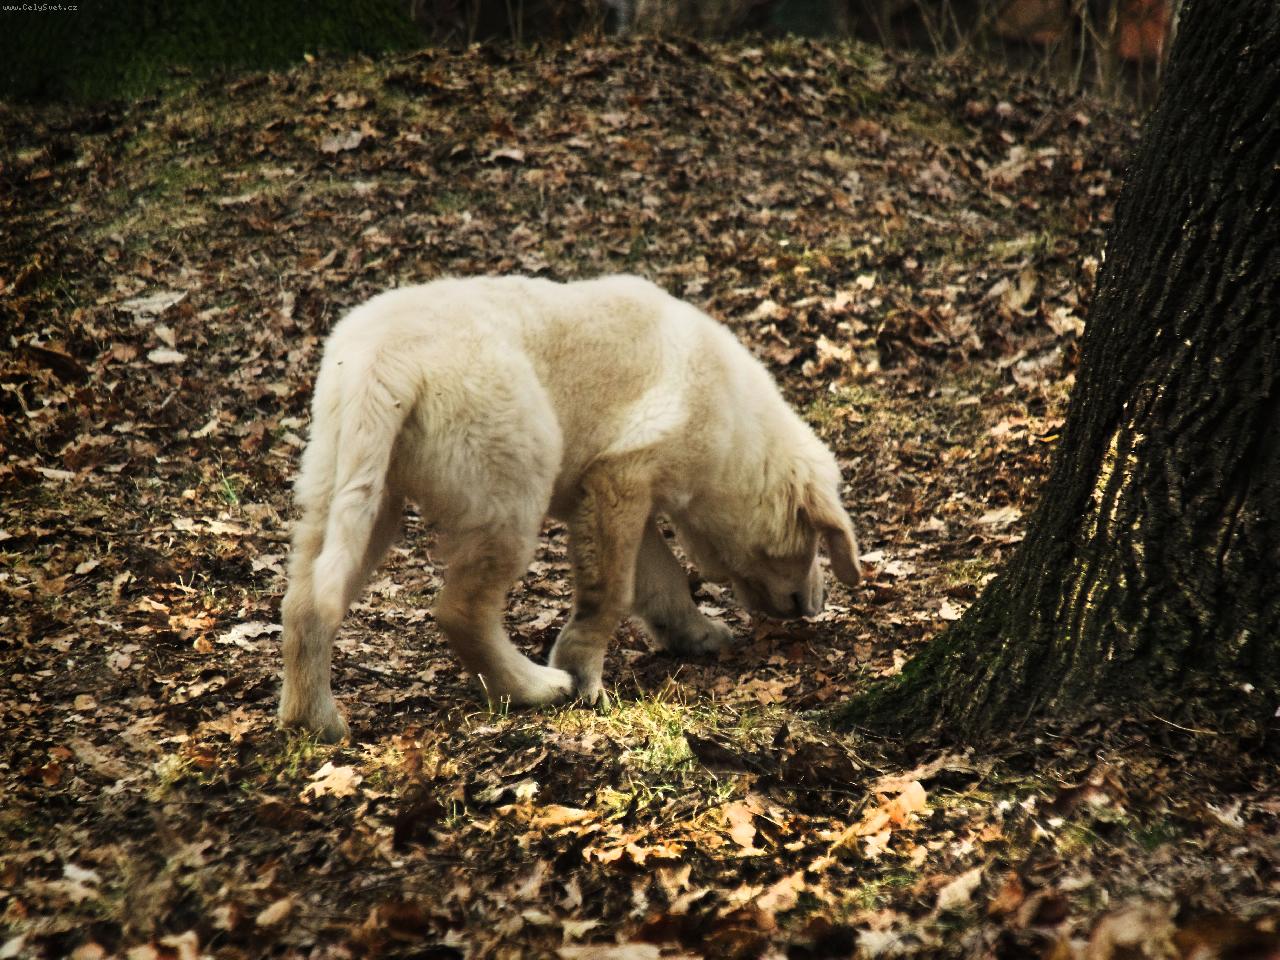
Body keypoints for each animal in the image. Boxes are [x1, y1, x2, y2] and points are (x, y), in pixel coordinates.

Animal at [278, 275, 861, 741]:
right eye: (814, 541)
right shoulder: (621, 480)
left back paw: (314, 720)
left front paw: (693, 634)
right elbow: (612, 594)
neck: (739, 435)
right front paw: (584, 675)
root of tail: (385, 360)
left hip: (354, 489)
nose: (814, 607)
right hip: (511, 484)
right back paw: (532, 688)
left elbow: (661, 580)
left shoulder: (620, 494)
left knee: (306, 601)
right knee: (461, 610)